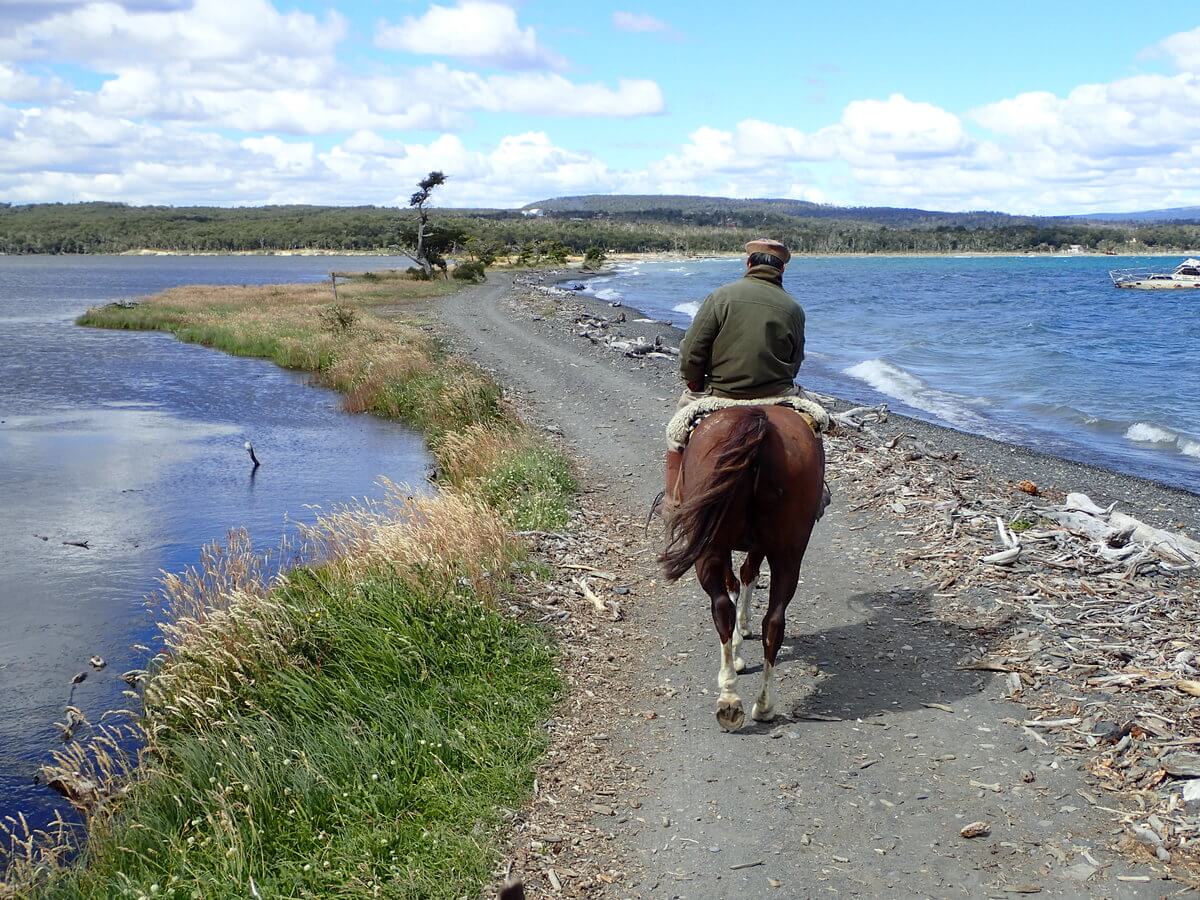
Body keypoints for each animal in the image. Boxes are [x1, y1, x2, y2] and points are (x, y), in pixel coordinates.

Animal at [662, 408, 830, 734]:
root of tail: (759, 418)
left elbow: (738, 580)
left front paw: (741, 642)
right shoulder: (761, 545)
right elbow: (748, 574)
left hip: (710, 547)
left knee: (722, 607)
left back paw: (729, 698)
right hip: (789, 552)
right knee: (775, 622)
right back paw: (763, 705)